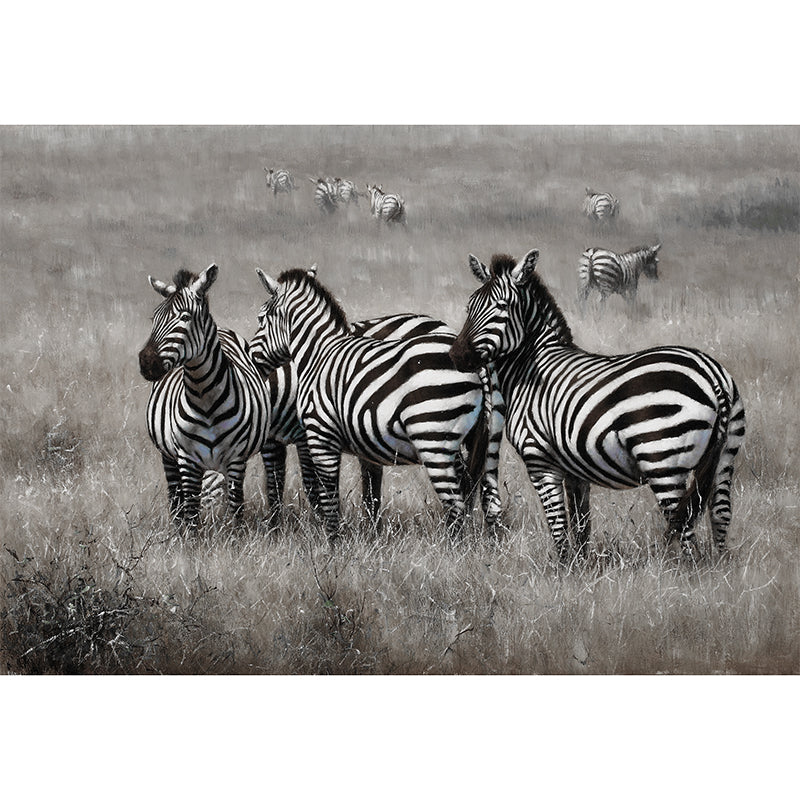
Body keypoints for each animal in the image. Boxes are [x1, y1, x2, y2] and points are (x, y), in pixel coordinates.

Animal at [138, 264, 270, 527]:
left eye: (185, 318)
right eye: (153, 319)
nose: (146, 363)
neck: (204, 395)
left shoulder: (236, 459)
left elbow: (236, 509)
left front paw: (234, 535)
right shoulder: (186, 458)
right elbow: (190, 513)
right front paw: (189, 537)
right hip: (169, 457)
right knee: (176, 498)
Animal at [250, 266, 502, 541]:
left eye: (260, 319)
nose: (251, 358)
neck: (319, 354)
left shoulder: (318, 435)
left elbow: (323, 496)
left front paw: (331, 543)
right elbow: (363, 494)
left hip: (433, 437)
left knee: (456, 505)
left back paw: (452, 549)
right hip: (483, 438)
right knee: (485, 496)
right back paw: (488, 544)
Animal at [450, 250, 745, 562]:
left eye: (501, 307)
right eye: (470, 306)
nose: (456, 355)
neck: (529, 369)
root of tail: (713, 375)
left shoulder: (539, 459)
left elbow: (558, 524)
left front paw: (562, 568)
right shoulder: (573, 468)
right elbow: (581, 524)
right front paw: (580, 567)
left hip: (663, 459)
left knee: (684, 526)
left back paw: (687, 571)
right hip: (725, 456)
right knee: (720, 514)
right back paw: (718, 568)